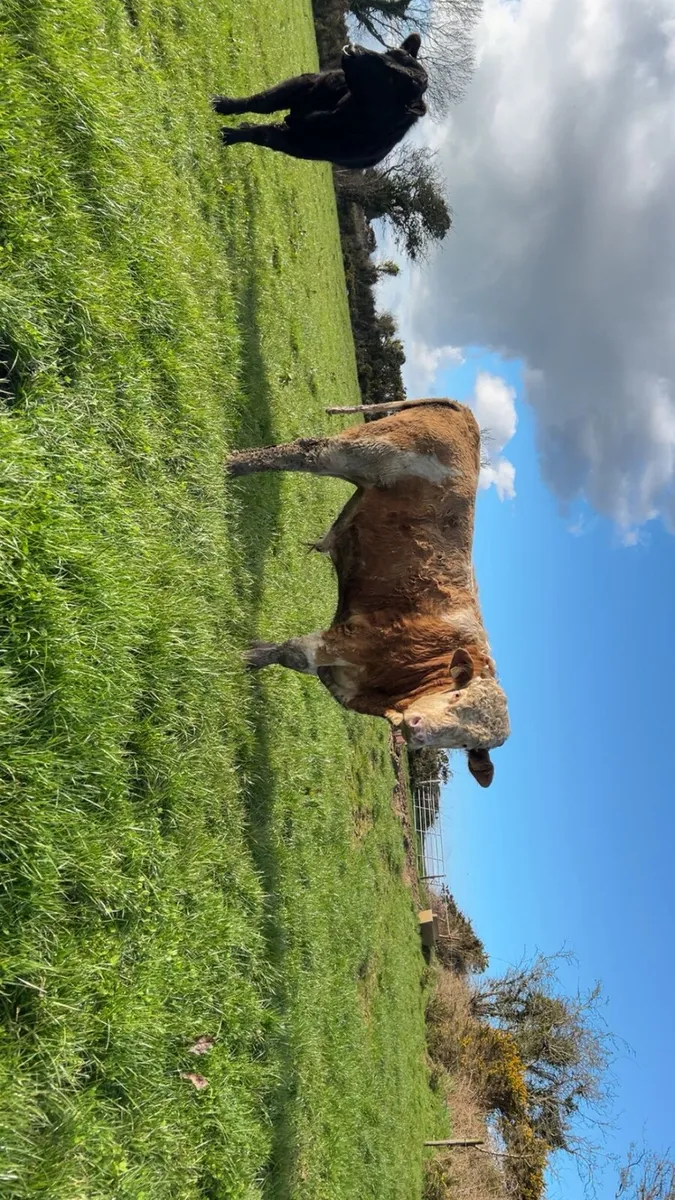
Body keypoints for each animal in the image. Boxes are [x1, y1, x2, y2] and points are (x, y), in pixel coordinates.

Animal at [212, 34, 428, 169]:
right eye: (390, 52)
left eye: (394, 81)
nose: (353, 49)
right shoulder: (305, 84)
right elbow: (262, 102)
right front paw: (223, 104)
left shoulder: (300, 143)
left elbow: (262, 134)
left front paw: (229, 135)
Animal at [226, 398, 510, 787]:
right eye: (455, 696)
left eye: (465, 742)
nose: (418, 729)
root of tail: (464, 411)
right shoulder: (352, 638)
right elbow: (292, 653)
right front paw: (242, 657)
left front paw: (253, 648)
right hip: (361, 452)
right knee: (305, 451)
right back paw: (229, 464)